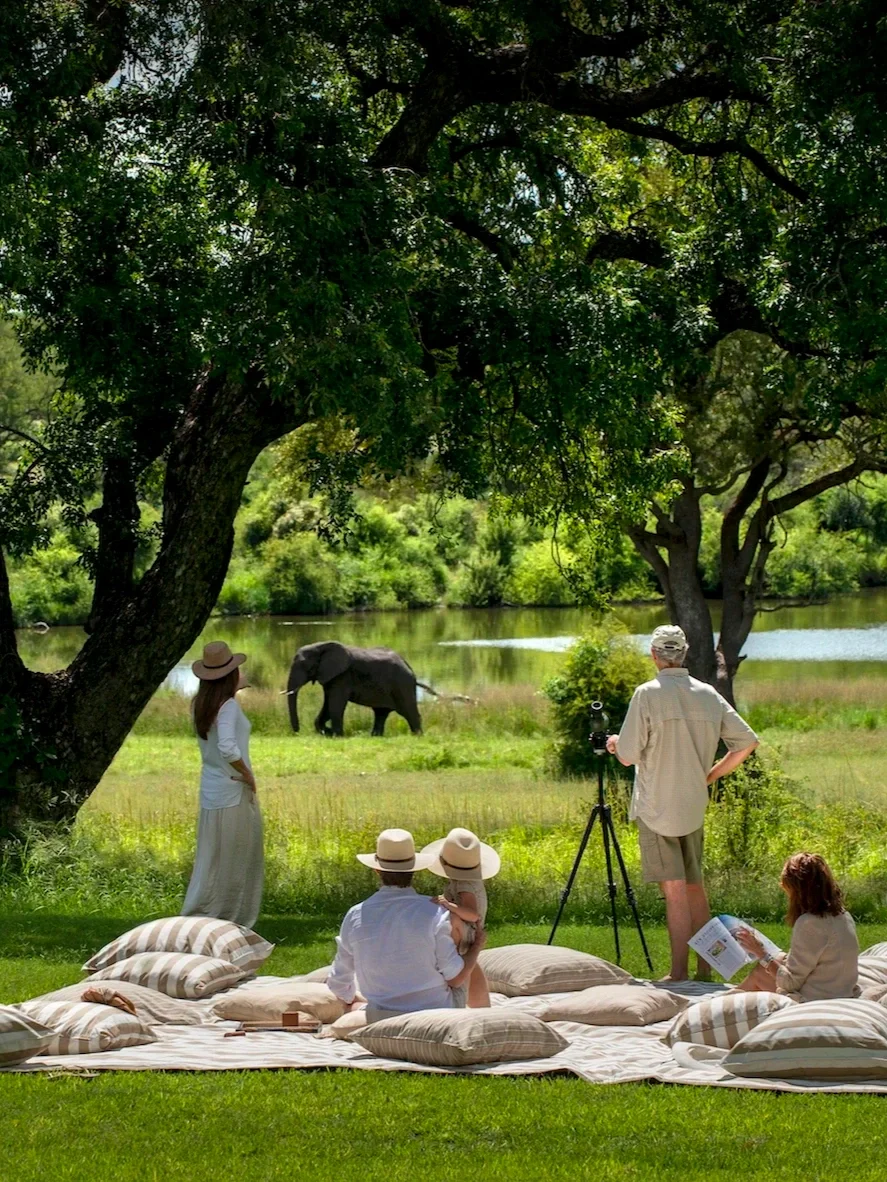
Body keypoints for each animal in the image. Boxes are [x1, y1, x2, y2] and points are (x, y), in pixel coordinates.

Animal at [285, 641, 433, 736]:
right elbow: (328, 705)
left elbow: (335, 705)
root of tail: (411, 670)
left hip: (402, 685)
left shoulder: (343, 676)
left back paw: (417, 736)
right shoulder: (331, 677)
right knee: (381, 713)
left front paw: (337, 735)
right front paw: (327, 732)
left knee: (409, 712)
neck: (321, 646)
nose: (297, 732)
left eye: (306, 666)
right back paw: (375, 736)